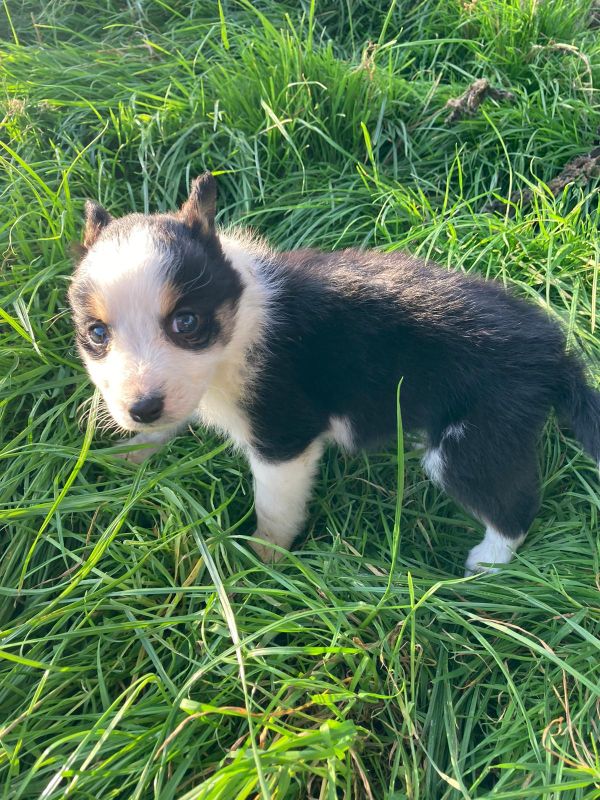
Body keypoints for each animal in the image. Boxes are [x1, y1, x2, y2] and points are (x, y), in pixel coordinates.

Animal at [67, 173, 600, 576]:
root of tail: (555, 353)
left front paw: (262, 561)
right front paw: (127, 456)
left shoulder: (284, 439)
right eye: (97, 333)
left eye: (186, 323)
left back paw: (486, 563)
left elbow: (274, 509)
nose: (141, 409)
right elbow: (169, 424)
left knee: (515, 507)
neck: (240, 319)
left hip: (472, 442)